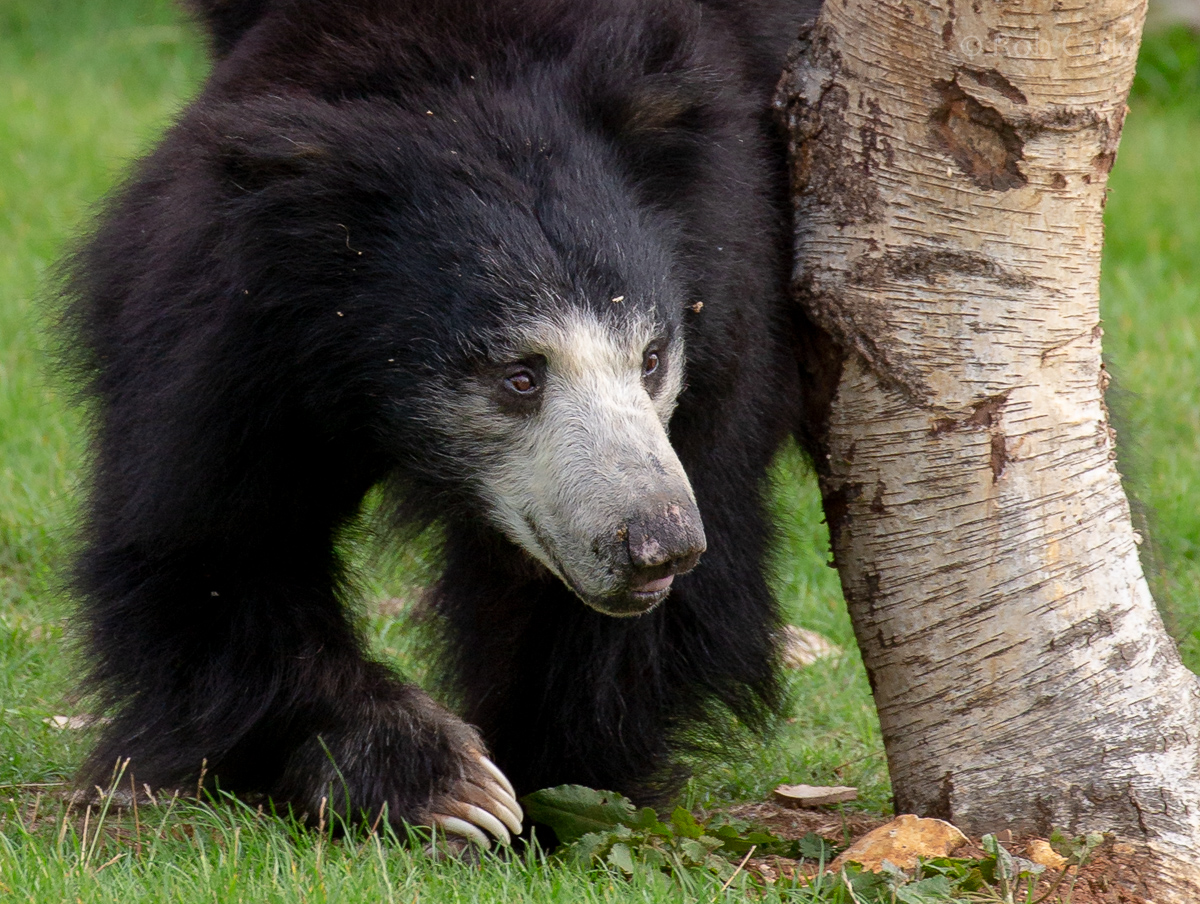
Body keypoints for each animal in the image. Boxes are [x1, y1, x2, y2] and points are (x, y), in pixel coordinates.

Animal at [62, 0, 821, 847]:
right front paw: (449, 788)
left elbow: (633, 603)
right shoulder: (225, 349)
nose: (659, 546)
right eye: (519, 376)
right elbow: (208, 542)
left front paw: (554, 789)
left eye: (652, 357)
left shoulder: (734, 308)